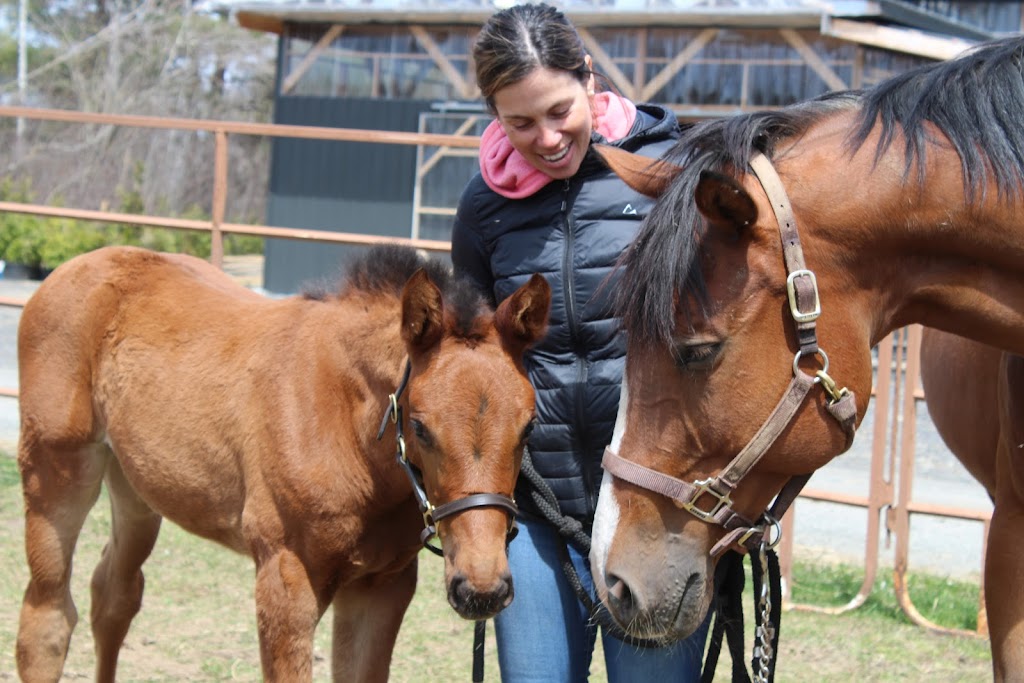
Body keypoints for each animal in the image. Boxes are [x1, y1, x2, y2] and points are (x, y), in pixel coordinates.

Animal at [14, 242, 552, 679]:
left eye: (528, 427)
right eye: (419, 426)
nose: (482, 590)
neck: (346, 430)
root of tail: (75, 268)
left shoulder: (383, 585)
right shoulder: (285, 579)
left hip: (136, 489)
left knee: (114, 596)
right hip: (55, 472)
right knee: (46, 619)